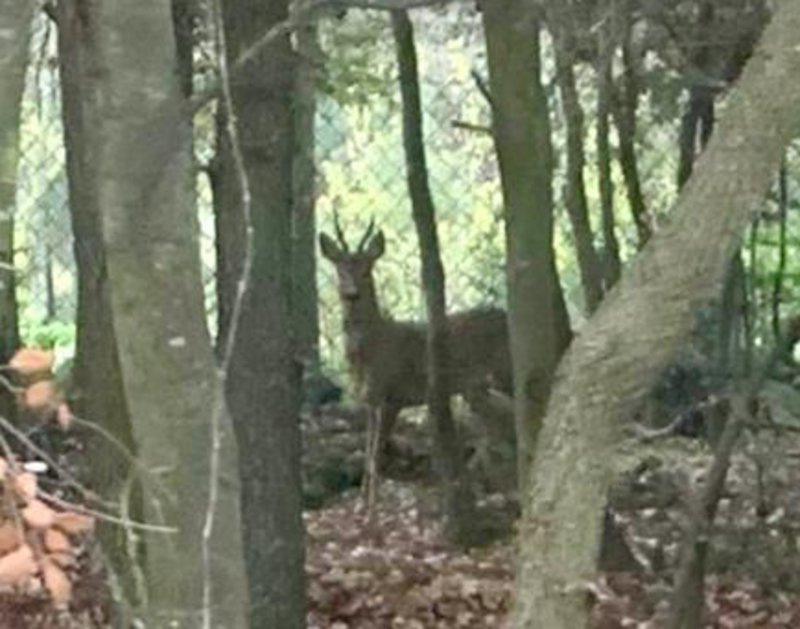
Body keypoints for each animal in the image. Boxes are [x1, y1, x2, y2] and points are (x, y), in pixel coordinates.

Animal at [318, 218, 512, 484]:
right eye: (340, 270)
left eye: (366, 270)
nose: (352, 294)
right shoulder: (369, 400)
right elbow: (368, 457)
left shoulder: (392, 395)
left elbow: (375, 461)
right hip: (477, 388)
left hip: (505, 370)